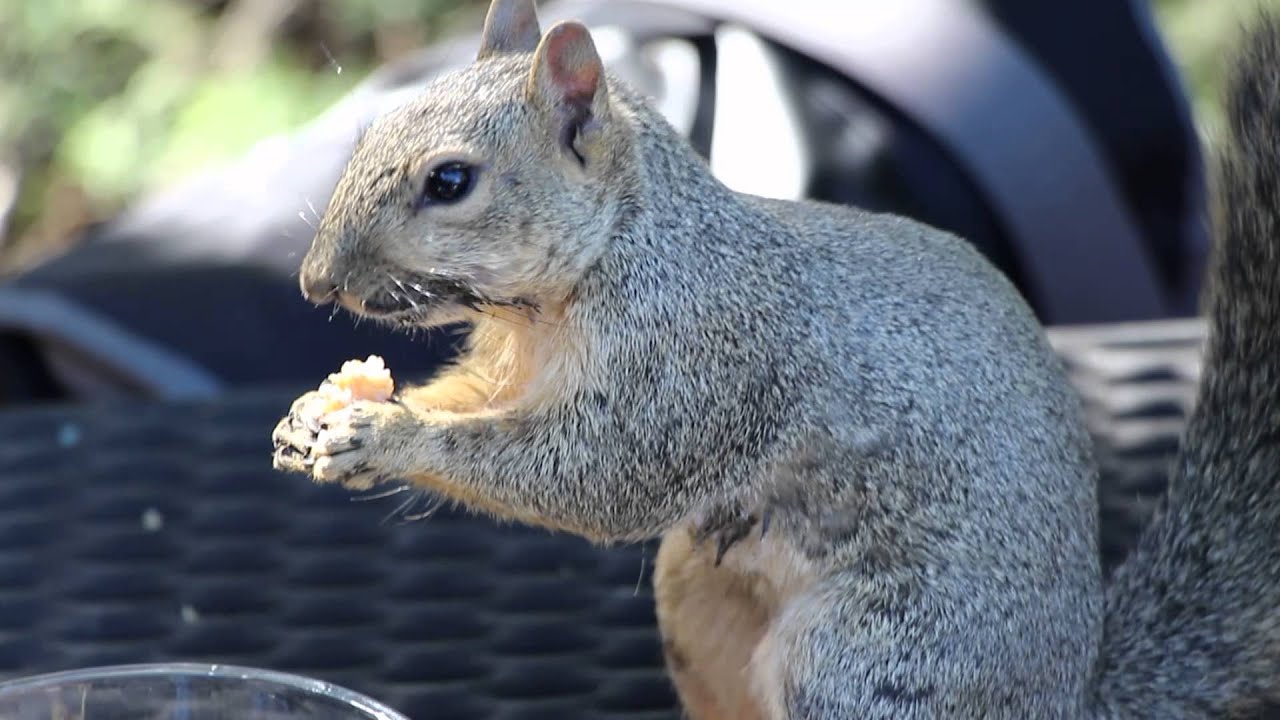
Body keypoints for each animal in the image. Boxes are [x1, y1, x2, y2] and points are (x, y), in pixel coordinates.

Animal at [271, 0, 1280, 717]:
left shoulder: (702, 364)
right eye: (368, 133)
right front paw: (323, 411)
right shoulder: (510, 365)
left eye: (450, 181)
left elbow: (600, 478)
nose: (315, 284)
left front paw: (382, 435)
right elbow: (475, 398)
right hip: (696, 601)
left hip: (873, 661)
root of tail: (1069, 696)